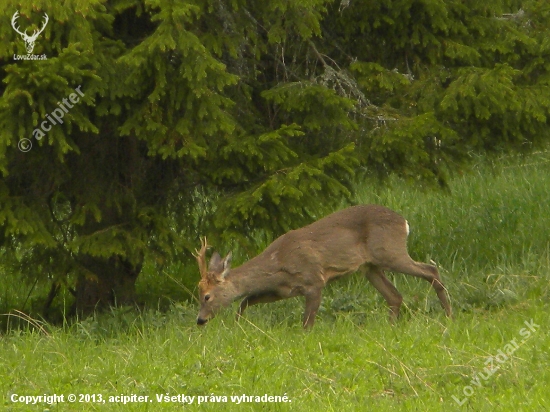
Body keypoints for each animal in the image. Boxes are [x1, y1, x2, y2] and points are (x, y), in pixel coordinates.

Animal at [195, 205, 452, 328]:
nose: (200, 320)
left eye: (207, 296)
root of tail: (404, 222)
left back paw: (449, 315)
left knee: (431, 269)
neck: (278, 262)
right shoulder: (282, 290)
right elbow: (246, 300)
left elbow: (307, 323)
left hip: (390, 252)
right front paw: (239, 324)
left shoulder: (314, 280)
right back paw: (391, 328)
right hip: (370, 267)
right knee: (395, 296)